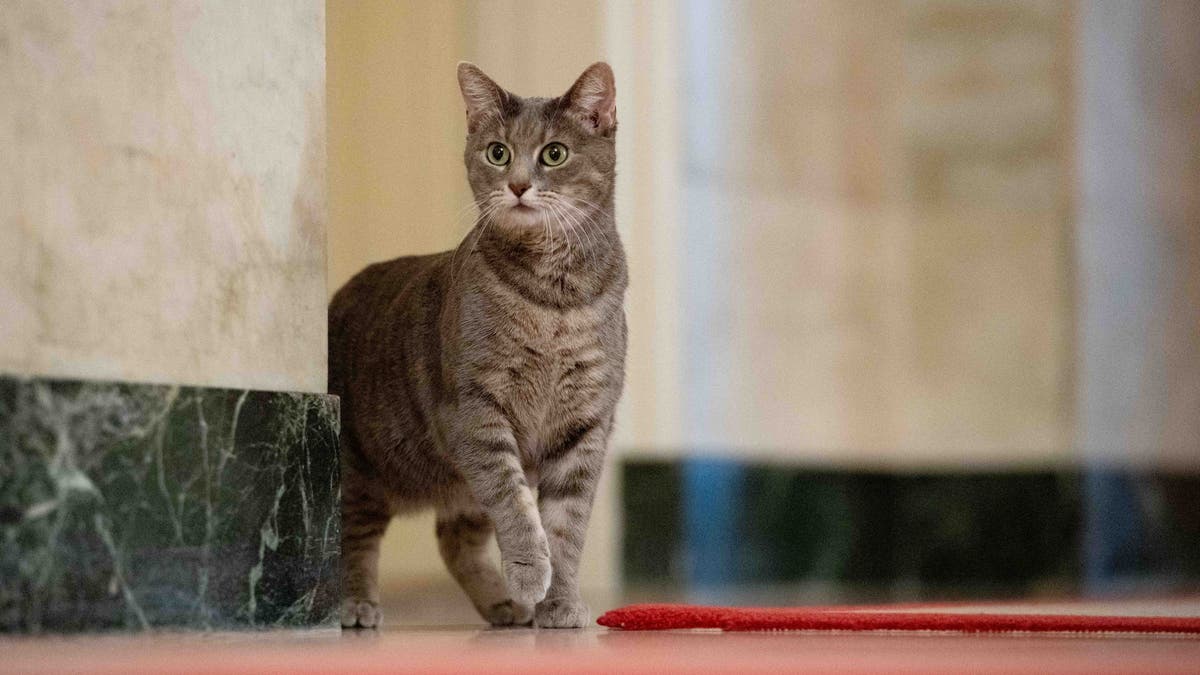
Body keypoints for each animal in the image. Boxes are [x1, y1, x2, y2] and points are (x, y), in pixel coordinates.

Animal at [328, 60, 628, 629]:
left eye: (554, 153)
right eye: (498, 152)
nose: (518, 185)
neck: (553, 299)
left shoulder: (586, 425)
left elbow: (566, 528)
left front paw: (559, 602)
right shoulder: (476, 411)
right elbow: (514, 503)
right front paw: (532, 572)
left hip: (455, 487)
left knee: (453, 540)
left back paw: (505, 604)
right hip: (360, 470)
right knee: (352, 540)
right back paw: (355, 604)